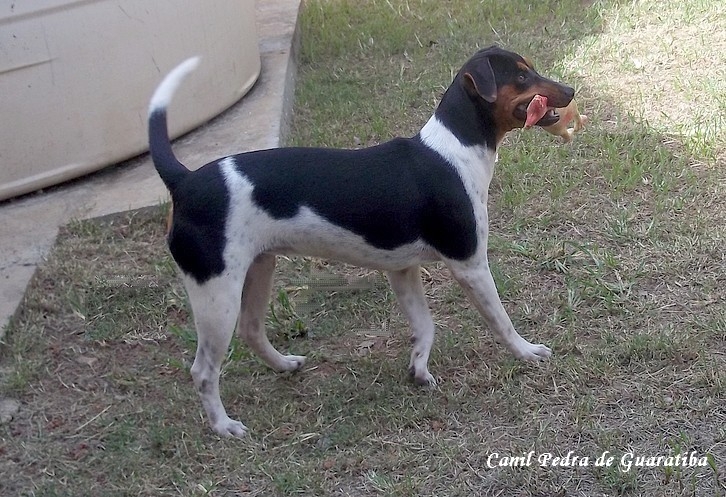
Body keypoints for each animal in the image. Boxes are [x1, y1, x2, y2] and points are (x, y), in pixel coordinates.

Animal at [149, 44, 576, 436]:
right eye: (521, 76)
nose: (571, 90)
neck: (455, 149)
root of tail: (184, 181)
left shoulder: (403, 270)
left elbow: (425, 325)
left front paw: (418, 368)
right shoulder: (470, 265)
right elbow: (501, 320)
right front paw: (527, 352)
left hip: (257, 269)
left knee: (251, 330)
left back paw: (285, 365)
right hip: (216, 294)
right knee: (204, 370)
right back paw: (224, 426)